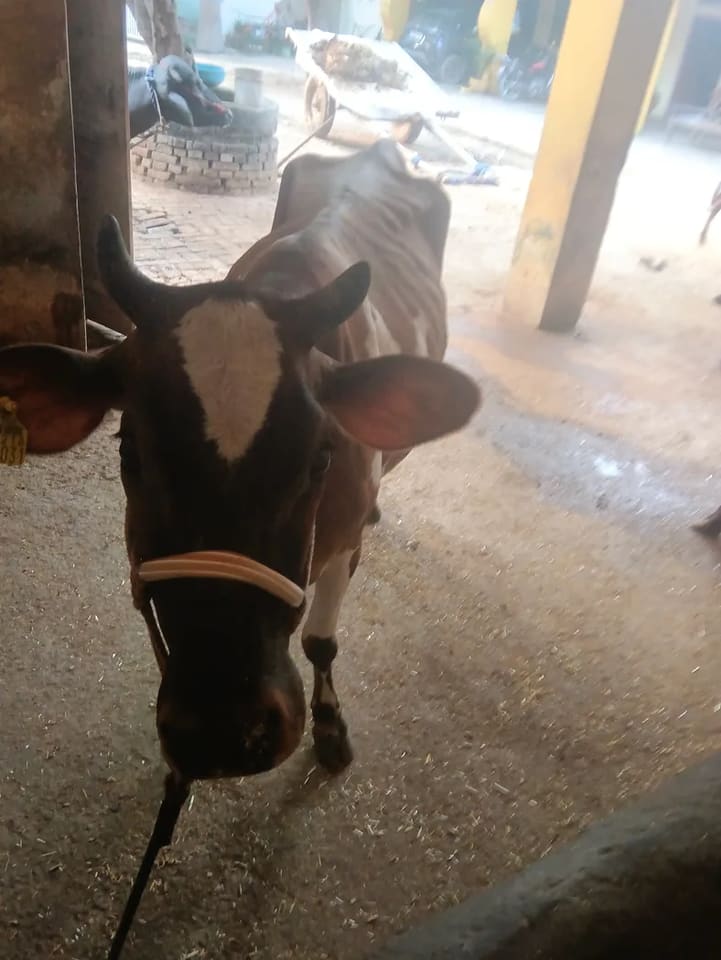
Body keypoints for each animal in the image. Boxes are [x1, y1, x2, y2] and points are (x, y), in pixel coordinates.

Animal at [0, 140, 479, 784]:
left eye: (321, 459)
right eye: (129, 452)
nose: (224, 729)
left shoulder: (344, 537)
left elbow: (321, 642)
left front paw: (332, 728)